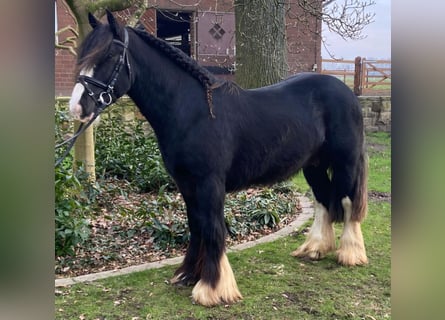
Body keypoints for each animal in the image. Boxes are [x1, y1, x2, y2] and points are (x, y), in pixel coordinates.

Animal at [69, 11, 368, 308]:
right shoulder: (187, 184)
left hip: (345, 163)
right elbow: (196, 226)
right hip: (313, 166)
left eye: (109, 54)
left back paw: (350, 254)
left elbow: (213, 229)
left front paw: (212, 289)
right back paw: (315, 249)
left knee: (347, 201)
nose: (77, 107)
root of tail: (347, 93)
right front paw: (188, 274)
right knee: (324, 201)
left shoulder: (209, 183)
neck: (194, 111)